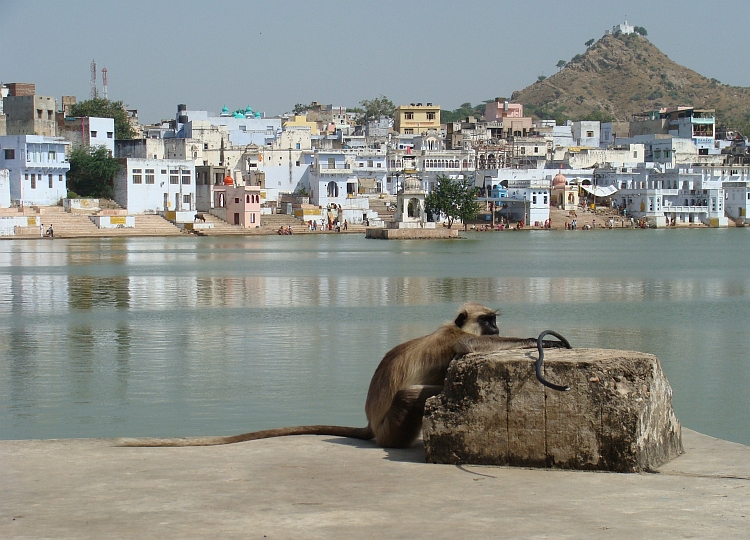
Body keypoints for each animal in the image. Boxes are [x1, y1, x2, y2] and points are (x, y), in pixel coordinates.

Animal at [117, 302, 560, 450]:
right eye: (489, 323)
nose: (498, 330)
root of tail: (371, 425)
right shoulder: (457, 340)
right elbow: (467, 351)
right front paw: (544, 343)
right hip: (392, 426)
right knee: (412, 395)